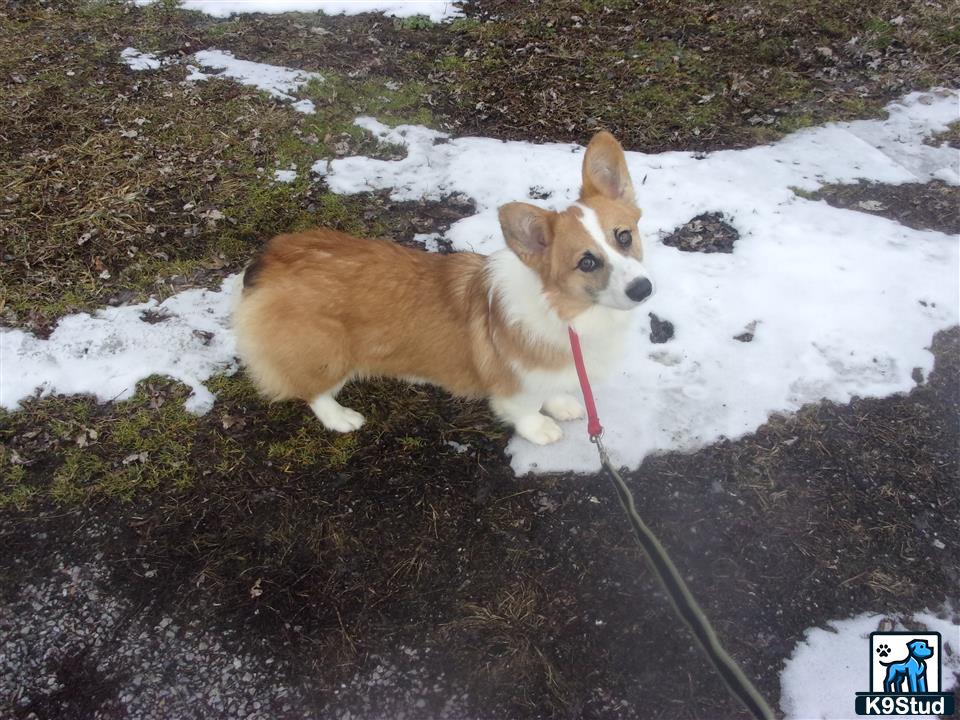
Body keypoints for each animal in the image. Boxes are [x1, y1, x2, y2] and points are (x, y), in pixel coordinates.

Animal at [233, 131, 652, 444]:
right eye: (586, 262)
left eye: (624, 236)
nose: (643, 289)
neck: (565, 310)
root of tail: (275, 254)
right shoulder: (512, 384)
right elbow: (524, 409)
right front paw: (541, 429)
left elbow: (549, 390)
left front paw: (562, 403)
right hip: (327, 353)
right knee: (312, 390)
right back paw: (341, 417)